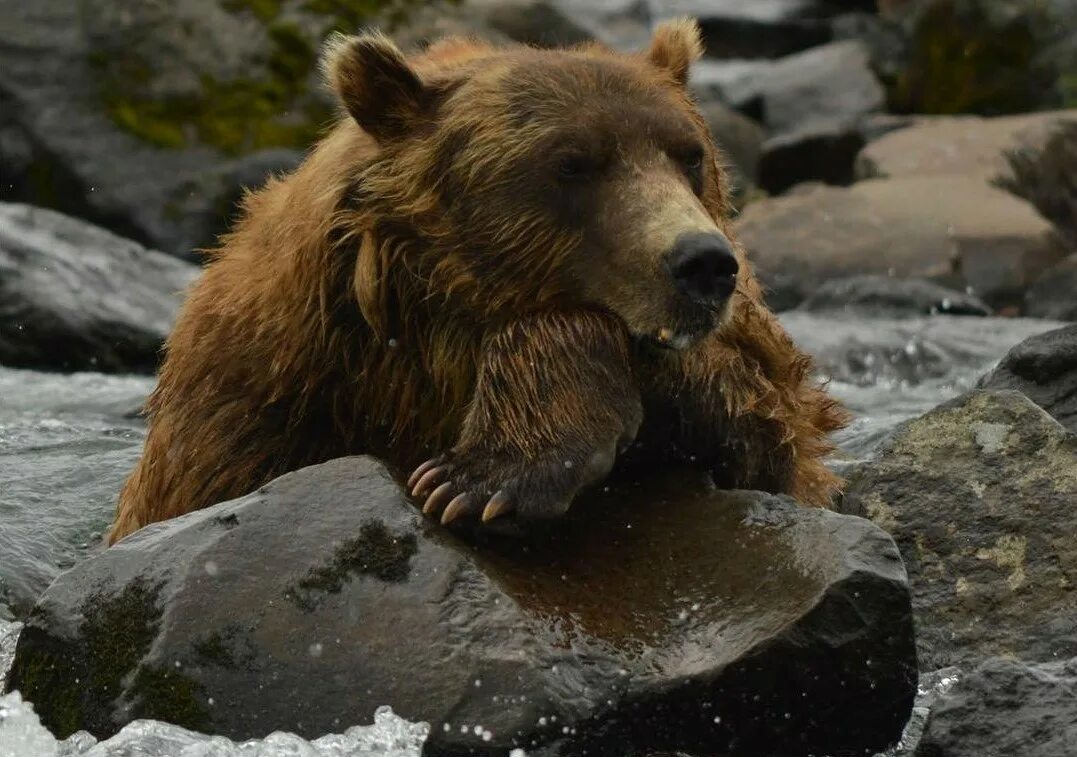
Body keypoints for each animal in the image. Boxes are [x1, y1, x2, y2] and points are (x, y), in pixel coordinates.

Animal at [109, 17, 848, 544]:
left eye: (688, 155)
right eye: (572, 163)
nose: (702, 263)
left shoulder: (750, 371)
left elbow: (764, 421)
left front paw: (477, 477)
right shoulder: (261, 388)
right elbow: (203, 483)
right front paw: (479, 477)